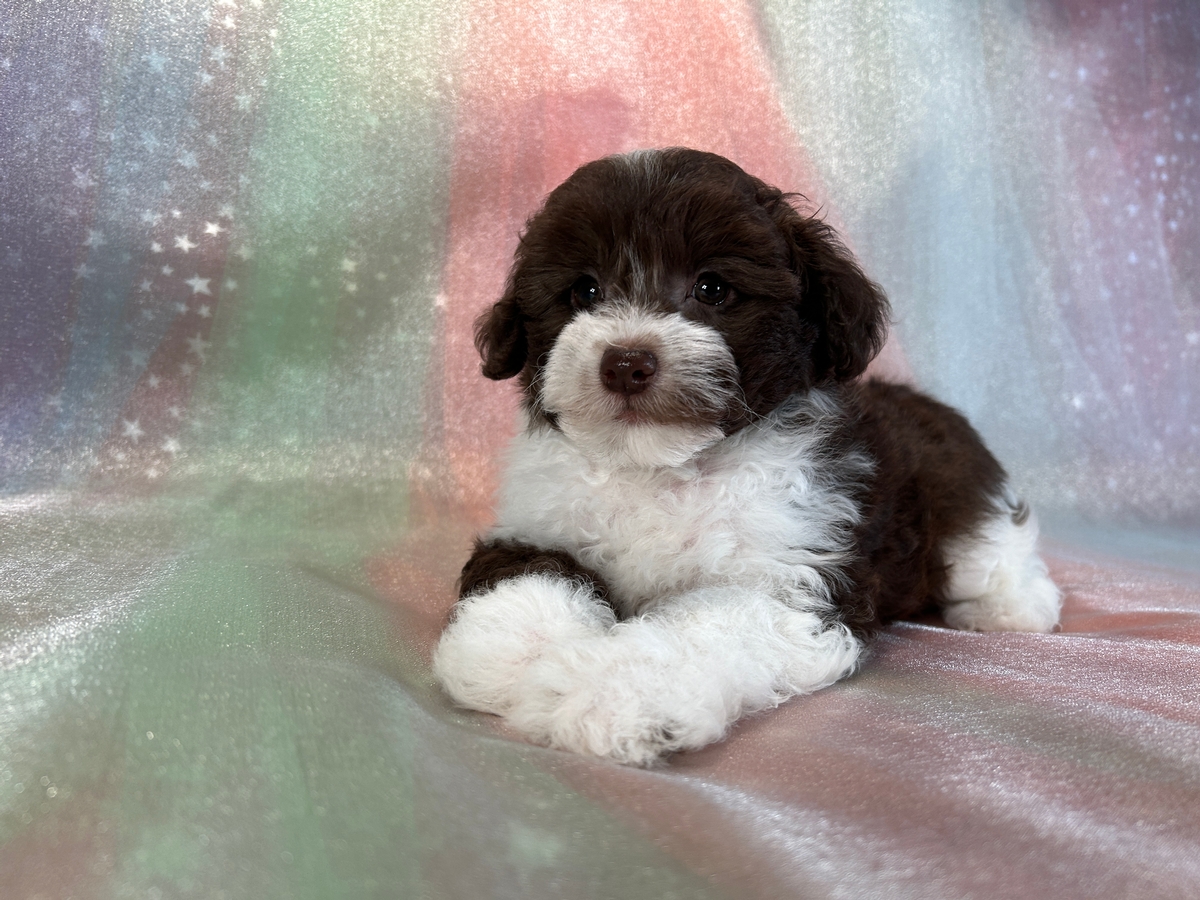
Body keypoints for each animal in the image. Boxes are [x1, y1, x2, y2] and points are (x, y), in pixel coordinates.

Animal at [434, 148, 1060, 768]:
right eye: (584, 292)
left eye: (712, 289)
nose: (626, 363)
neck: (663, 467)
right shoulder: (536, 523)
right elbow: (525, 584)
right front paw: (517, 659)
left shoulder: (792, 580)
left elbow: (700, 632)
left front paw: (608, 692)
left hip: (960, 501)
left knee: (993, 550)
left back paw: (1010, 606)